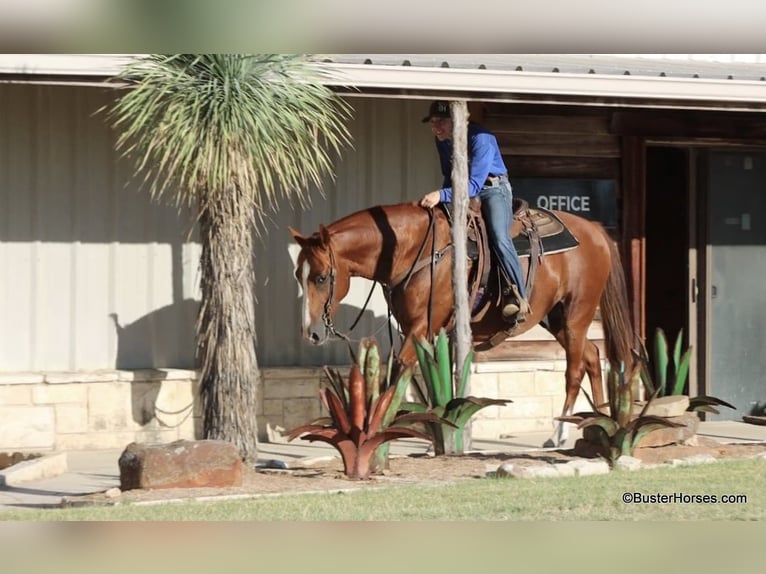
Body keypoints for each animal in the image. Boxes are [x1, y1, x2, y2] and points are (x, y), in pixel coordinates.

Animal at [289, 201, 635, 446]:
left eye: (321, 277)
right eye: (298, 275)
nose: (311, 333)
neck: (413, 248)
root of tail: (593, 230)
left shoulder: (421, 327)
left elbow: (399, 372)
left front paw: (384, 426)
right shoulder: (421, 331)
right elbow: (421, 377)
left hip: (577, 312)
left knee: (575, 369)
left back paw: (560, 435)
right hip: (557, 319)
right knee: (592, 356)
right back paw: (597, 424)